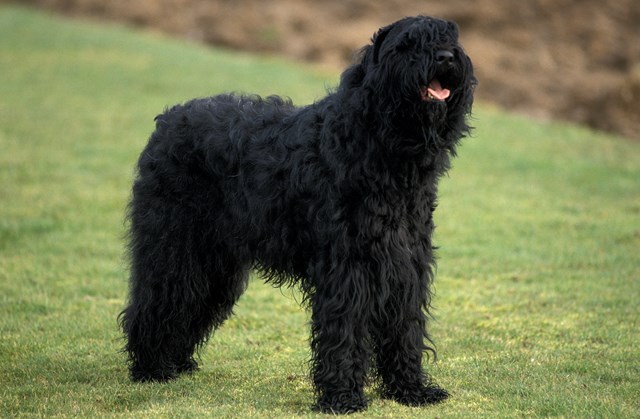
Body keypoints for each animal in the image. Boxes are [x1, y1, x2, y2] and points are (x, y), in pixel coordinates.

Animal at [121, 15, 476, 414]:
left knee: (190, 304)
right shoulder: (347, 266)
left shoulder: (405, 263)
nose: (445, 57)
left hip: (215, 264)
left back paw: (176, 361)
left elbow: (405, 327)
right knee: (157, 299)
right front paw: (342, 396)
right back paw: (151, 366)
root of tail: (167, 122)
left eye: (450, 38)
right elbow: (345, 330)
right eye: (408, 44)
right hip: (175, 247)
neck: (375, 140)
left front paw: (411, 389)